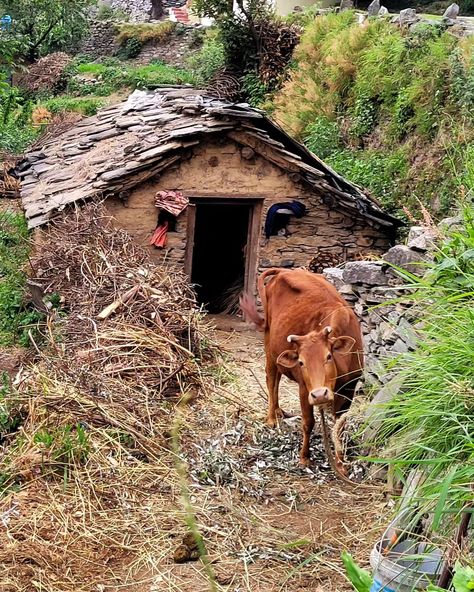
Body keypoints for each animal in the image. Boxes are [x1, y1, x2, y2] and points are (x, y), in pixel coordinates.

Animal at [241, 266, 362, 474]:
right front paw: (304, 457)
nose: (320, 395)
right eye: (301, 362)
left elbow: (340, 425)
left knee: (277, 378)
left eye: (328, 356)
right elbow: (308, 422)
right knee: (271, 379)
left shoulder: (350, 386)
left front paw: (340, 463)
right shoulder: (305, 389)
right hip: (269, 344)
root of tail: (283, 270)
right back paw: (272, 417)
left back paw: (279, 410)